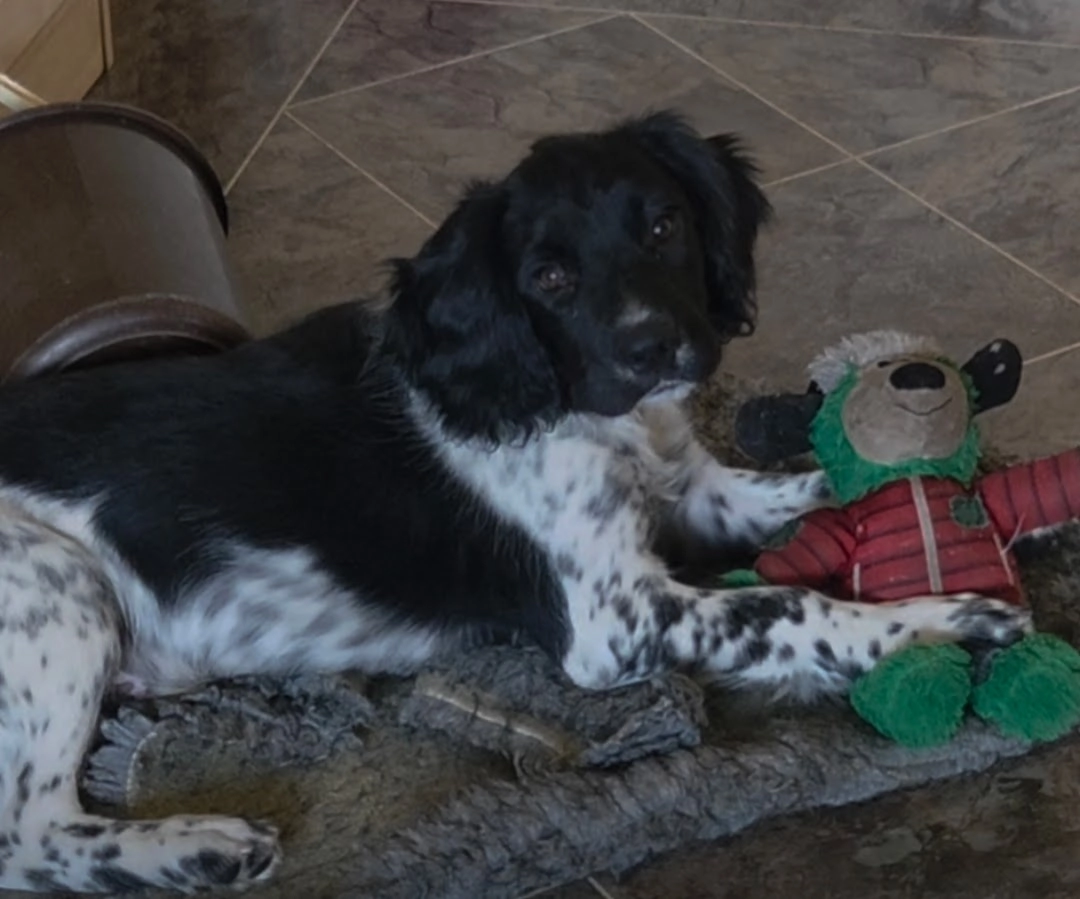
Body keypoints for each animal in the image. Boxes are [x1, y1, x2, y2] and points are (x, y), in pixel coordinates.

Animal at [0, 111, 1030, 893]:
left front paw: (965, 486)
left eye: (664, 226)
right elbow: (791, 602)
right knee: (30, 836)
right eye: (549, 278)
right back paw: (203, 848)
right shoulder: (613, 620)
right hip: (62, 588)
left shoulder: (694, 492)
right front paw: (949, 618)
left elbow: (815, 488)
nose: (656, 349)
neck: (561, 401)